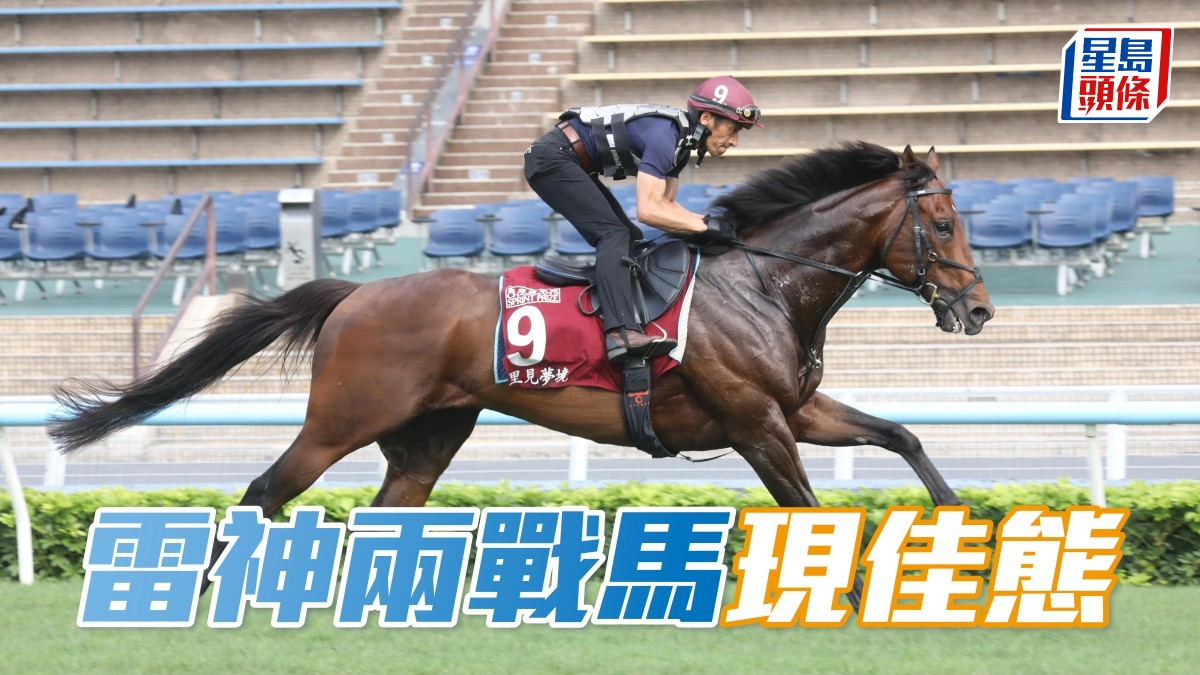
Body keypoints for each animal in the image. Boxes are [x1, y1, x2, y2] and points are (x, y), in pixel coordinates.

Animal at [50, 142, 993, 602]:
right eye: (945, 222)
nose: (979, 310)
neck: (763, 281)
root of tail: (357, 292)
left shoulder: (792, 410)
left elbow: (902, 436)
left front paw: (961, 541)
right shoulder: (757, 423)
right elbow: (807, 509)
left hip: (428, 434)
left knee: (385, 514)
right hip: (340, 420)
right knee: (262, 491)